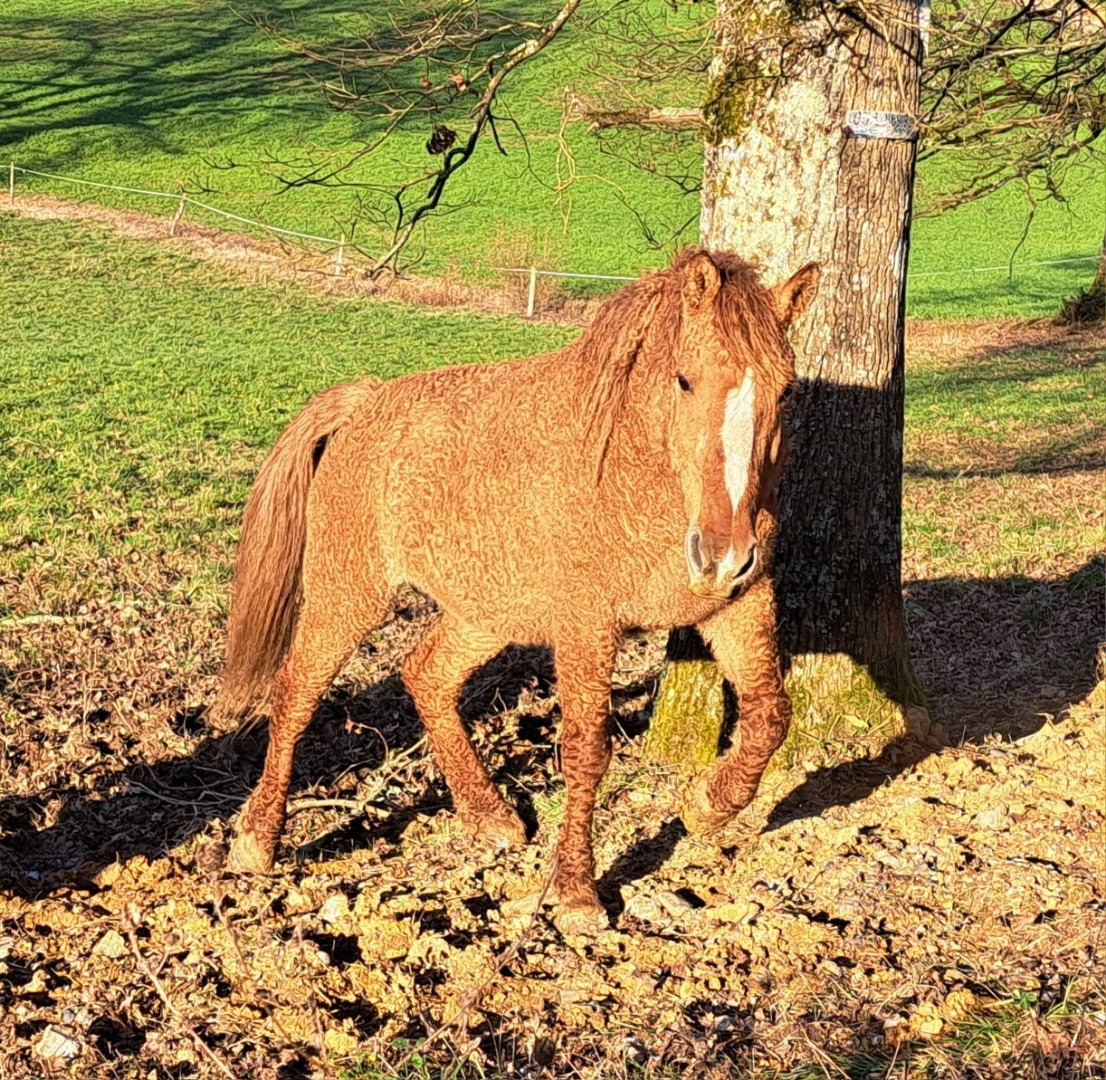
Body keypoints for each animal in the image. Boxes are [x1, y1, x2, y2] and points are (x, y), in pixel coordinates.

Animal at [213, 248, 822, 933]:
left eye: (787, 390)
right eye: (686, 381)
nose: (724, 553)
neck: (637, 472)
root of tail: (365, 403)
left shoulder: (739, 604)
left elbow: (771, 715)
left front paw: (705, 806)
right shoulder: (588, 625)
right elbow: (586, 748)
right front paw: (577, 893)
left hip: (485, 612)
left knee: (425, 675)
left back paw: (490, 815)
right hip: (350, 593)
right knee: (296, 691)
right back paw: (257, 840)